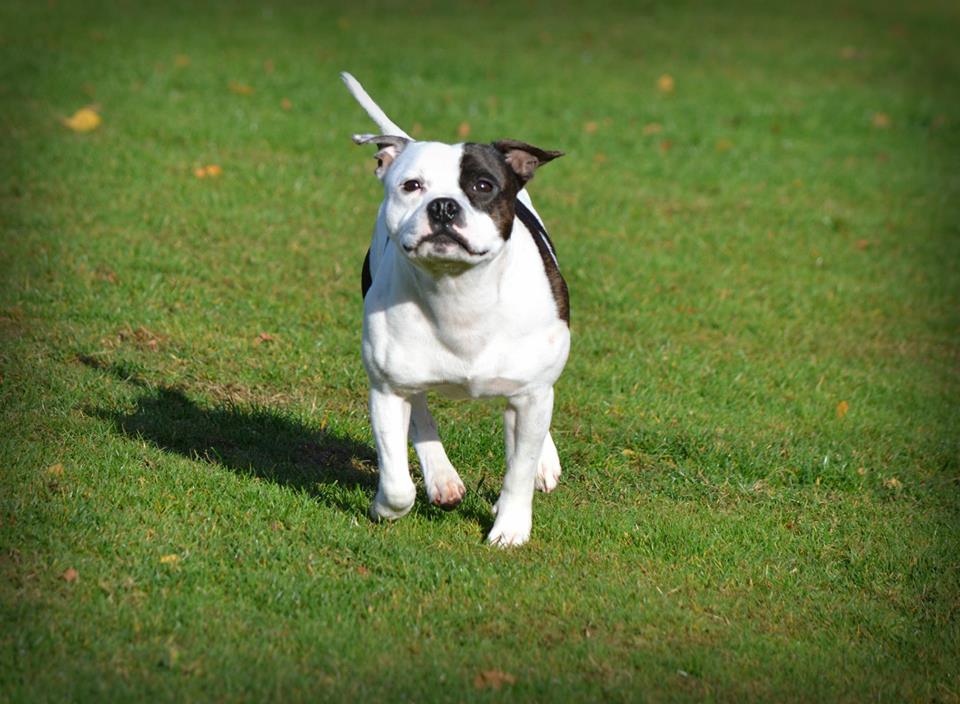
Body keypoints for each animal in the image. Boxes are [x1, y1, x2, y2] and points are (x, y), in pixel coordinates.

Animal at [341, 72, 570, 546]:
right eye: (412, 185)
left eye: (483, 186)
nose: (444, 206)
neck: (460, 292)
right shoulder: (386, 389)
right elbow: (397, 480)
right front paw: (386, 508)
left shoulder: (530, 393)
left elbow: (518, 469)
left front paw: (510, 528)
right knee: (421, 411)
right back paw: (442, 478)